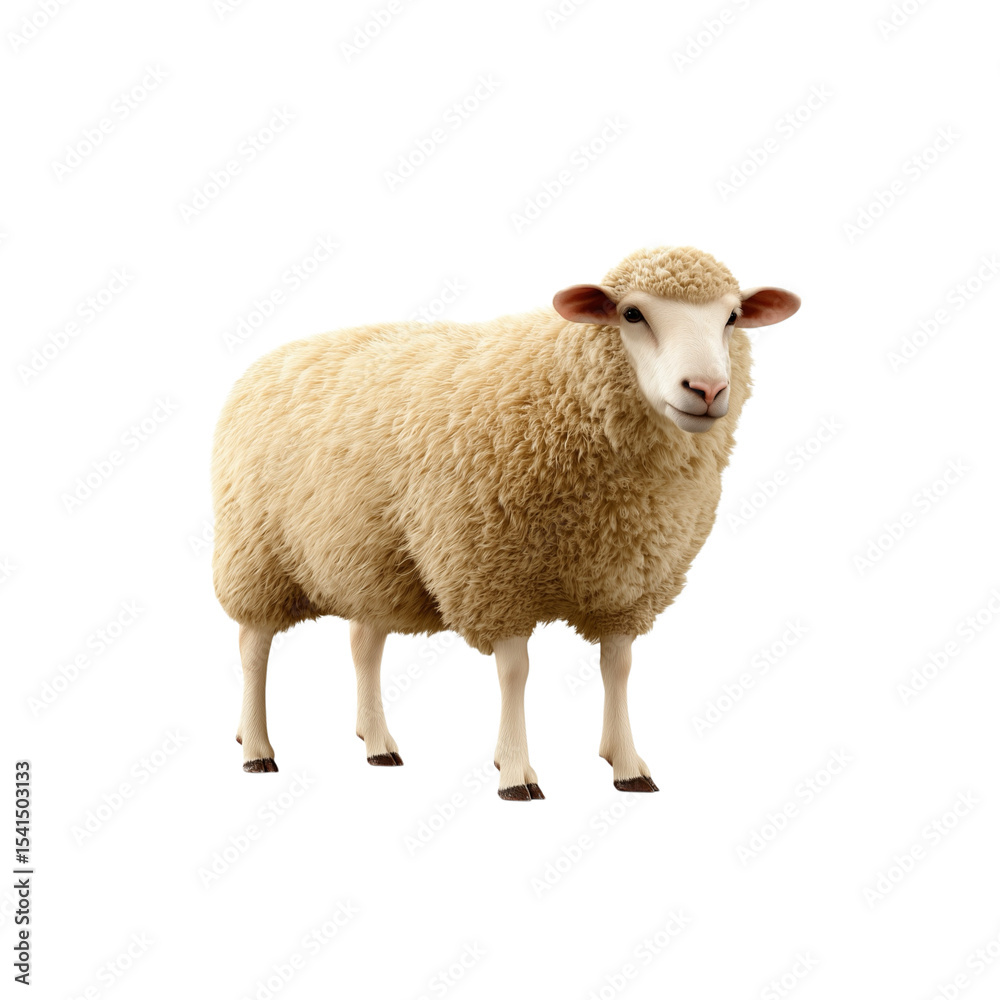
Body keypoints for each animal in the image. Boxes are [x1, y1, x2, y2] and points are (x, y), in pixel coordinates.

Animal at [212, 246, 800, 798]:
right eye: (632, 313)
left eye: (732, 317)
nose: (707, 389)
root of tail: (262, 363)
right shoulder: (495, 573)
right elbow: (515, 672)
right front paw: (516, 772)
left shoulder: (624, 582)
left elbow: (618, 668)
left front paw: (627, 765)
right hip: (255, 554)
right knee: (253, 648)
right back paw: (257, 748)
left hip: (369, 558)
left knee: (364, 643)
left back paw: (377, 743)